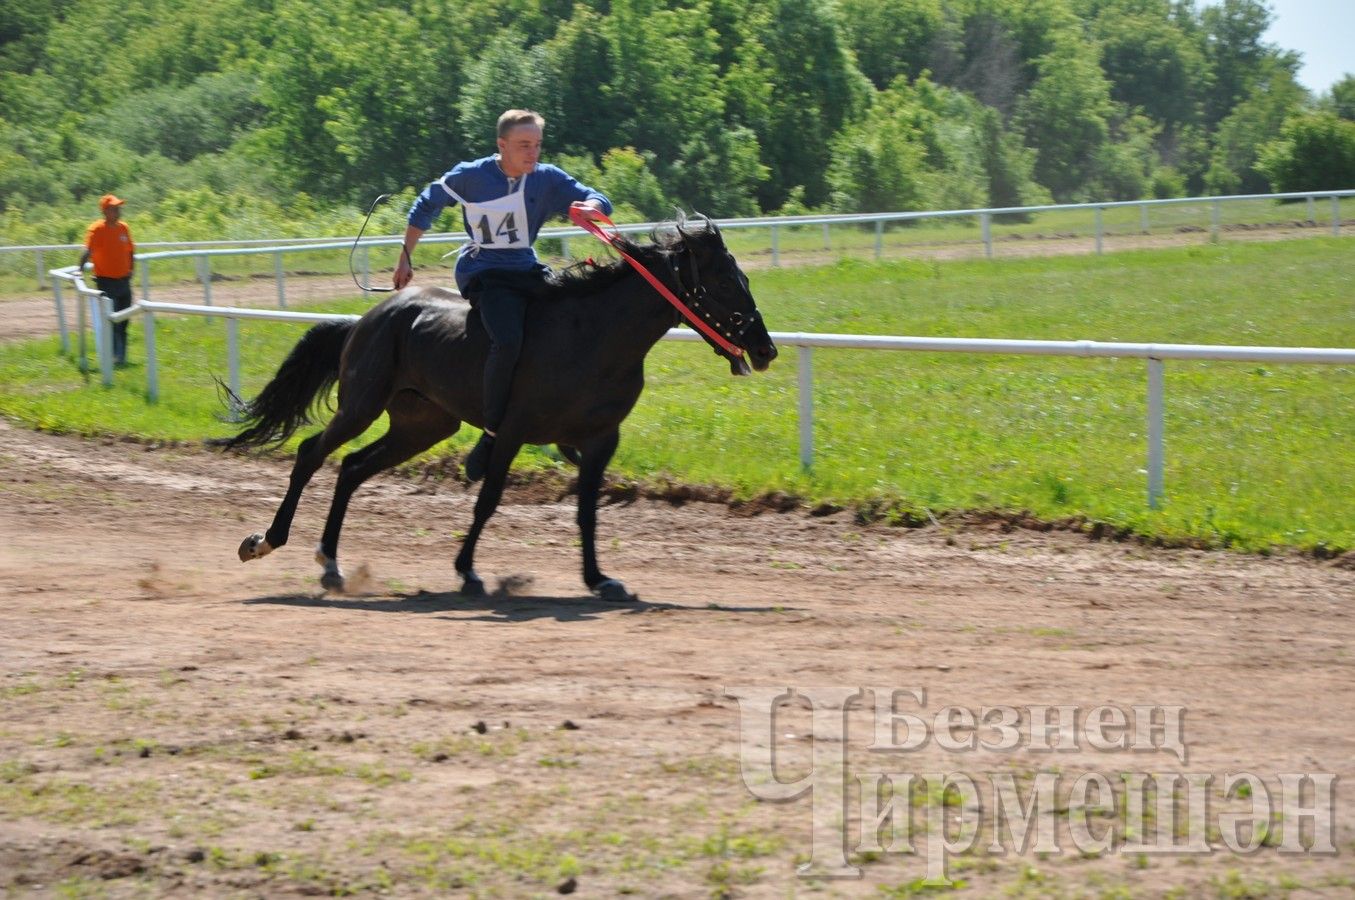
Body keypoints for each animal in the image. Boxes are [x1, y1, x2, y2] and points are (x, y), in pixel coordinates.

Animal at [216, 214, 780, 601]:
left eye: (745, 279)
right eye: (725, 282)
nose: (765, 348)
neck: (593, 337)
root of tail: (366, 318)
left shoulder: (601, 441)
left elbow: (586, 511)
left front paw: (598, 578)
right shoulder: (512, 431)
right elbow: (486, 501)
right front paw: (467, 570)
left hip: (424, 424)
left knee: (352, 468)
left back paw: (331, 563)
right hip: (361, 405)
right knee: (312, 454)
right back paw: (266, 540)